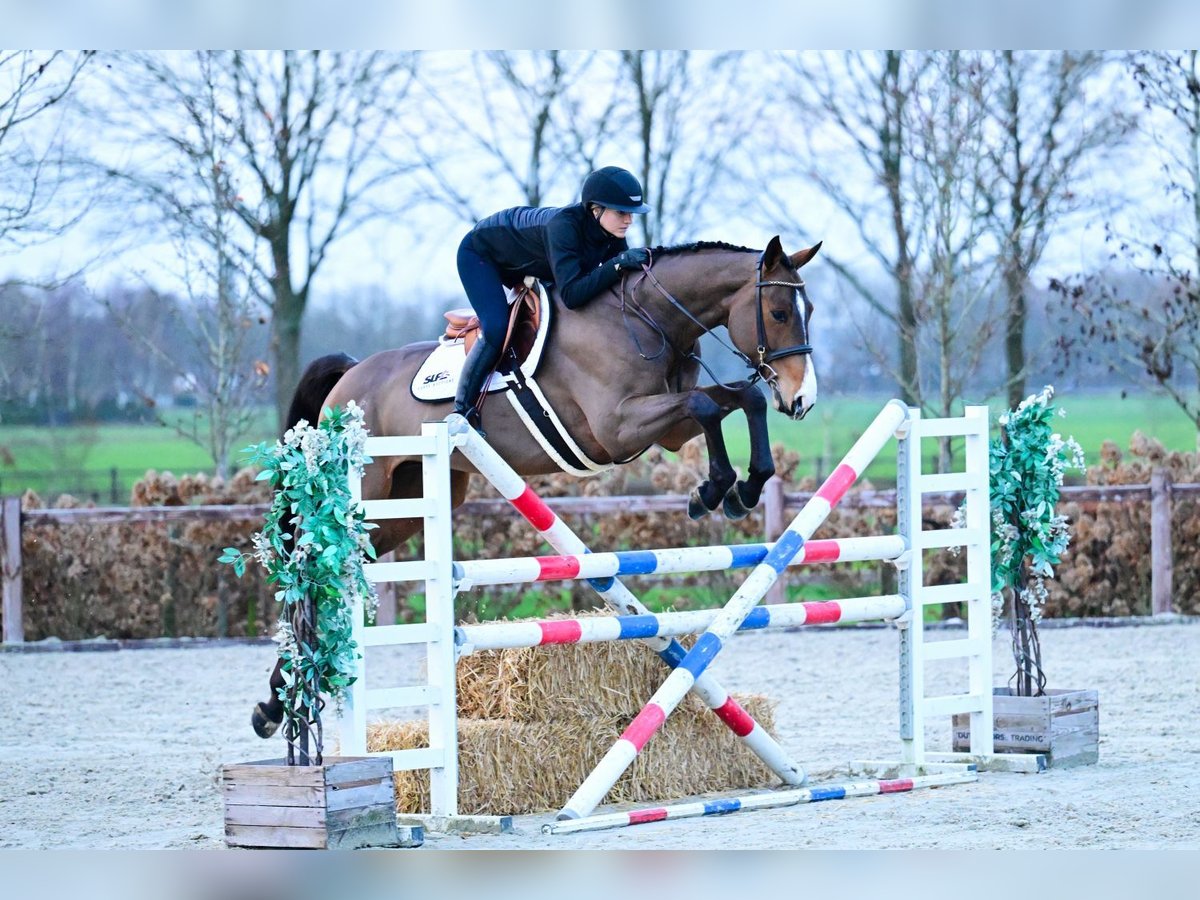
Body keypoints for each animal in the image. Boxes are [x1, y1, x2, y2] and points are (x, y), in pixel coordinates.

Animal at [251, 236, 821, 738]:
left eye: (809, 308)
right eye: (778, 312)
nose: (802, 400)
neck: (648, 318)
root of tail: (349, 377)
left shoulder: (669, 431)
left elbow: (739, 399)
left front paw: (743, 489)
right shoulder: (618, 428)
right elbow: (707, 404)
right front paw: (716, 490)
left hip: (403, 508)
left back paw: (278, 700)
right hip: (364, 494)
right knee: (310, 564)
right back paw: (282, 698)